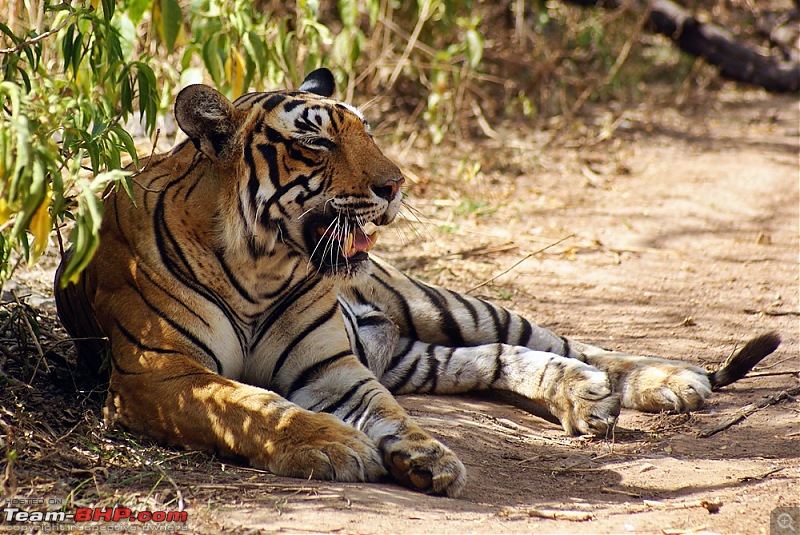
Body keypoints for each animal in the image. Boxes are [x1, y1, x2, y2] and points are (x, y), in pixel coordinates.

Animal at [54, 68, 780, 498]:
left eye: (366, 131)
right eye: (316, 143)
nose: (396, 185)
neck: (263, 264)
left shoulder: (333, 368)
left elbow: (386, 412)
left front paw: (427, 454)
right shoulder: (161, 374)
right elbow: (253, 405)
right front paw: (341, 446)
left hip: (441, 305)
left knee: (566, 342)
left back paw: (661, 381)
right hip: (411, 351)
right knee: (490, 359)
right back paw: (582, 394)